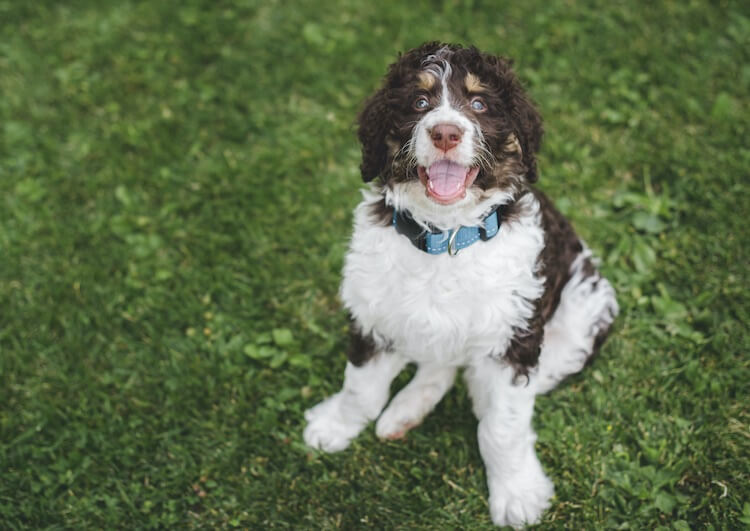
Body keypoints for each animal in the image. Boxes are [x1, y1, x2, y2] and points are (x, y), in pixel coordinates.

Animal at [302, 42, 620, 528]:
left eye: (479, 104)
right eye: (419, 102)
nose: (446, 133)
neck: (446, 238)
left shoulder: (514, 338)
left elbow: (503, 426)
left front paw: (516, 493)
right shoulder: (373, 313)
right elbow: (360, 388)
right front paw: (335, 426)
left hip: (582, 316)